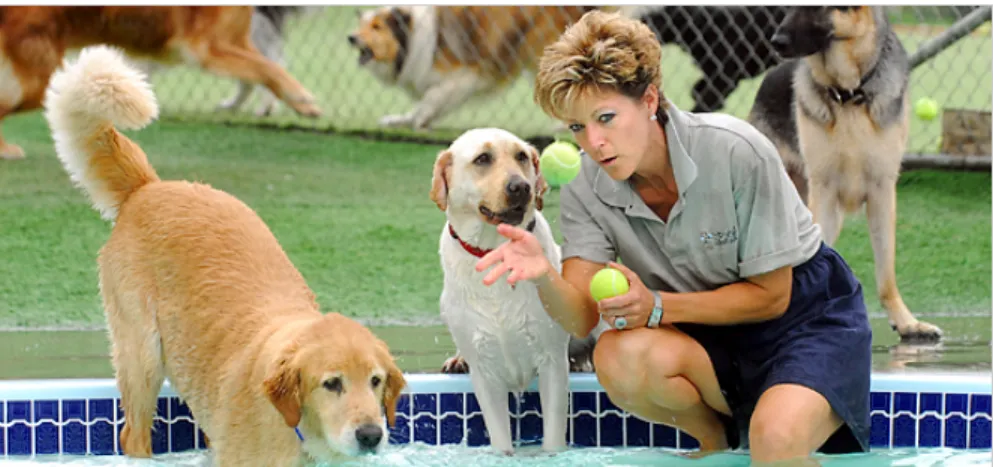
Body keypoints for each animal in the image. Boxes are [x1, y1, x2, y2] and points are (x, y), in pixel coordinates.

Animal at [0, 4, 320, 162]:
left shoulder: (235, 41)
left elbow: (265, 68)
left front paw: (295, 103)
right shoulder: (208, 48)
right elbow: (268, 67)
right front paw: (303, 98)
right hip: (40, 77)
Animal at [42, 46, 400, 467]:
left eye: (375, 380)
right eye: (332, 383)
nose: (371, 434)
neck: (297, 430)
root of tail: (149, 187)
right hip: (142, 356)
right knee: (133, 435)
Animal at [346, 5, 596, 132]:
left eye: (377, 27)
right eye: (361, 25)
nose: (351, 38)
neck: (414, 36)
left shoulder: (468, 75)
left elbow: (430, 98)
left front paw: (419, 120)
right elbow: (425, 105)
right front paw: (401, 120)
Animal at [430, 127, 568, 454]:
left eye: (521, 156)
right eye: (483, 159)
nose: (522, 187)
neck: (498, 251)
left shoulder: (553, 361)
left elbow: (553, 440)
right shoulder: (485, 374)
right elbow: (500, 440)